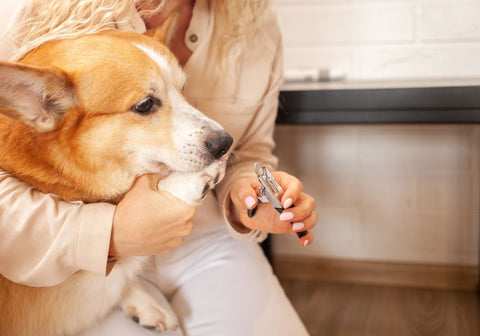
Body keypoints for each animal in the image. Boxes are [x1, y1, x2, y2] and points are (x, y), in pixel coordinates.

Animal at [0, 28, 232, 336]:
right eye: (145, 105)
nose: (226, 143)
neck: (55, 170)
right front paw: (187, 182)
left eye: (182, 89)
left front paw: (143, 301)